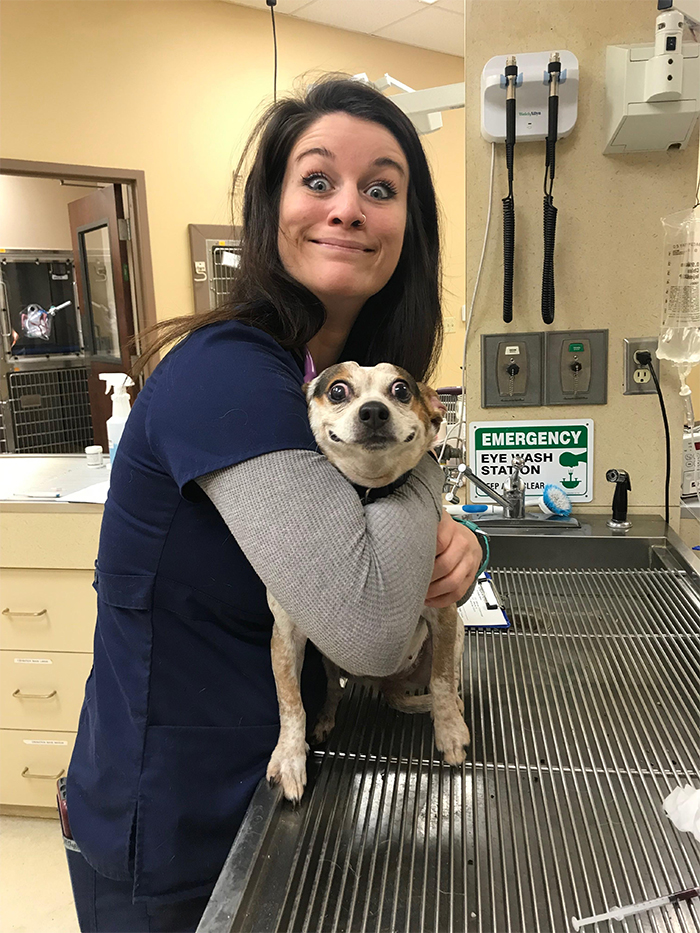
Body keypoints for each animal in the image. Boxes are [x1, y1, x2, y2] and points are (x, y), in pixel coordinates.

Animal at [266, 362, 474, 800]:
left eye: (401, 389)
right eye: (337, 390)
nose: (374, 411)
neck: (369, 491)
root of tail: (386, 684)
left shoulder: (444, 616)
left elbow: (443, 682)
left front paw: (449, 731)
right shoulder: (286, 634)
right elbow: (290, 701)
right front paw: (290, 756)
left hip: (457, 634)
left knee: (444, 681)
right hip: (326, 658)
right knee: (333, 690)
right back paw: (326, 719)